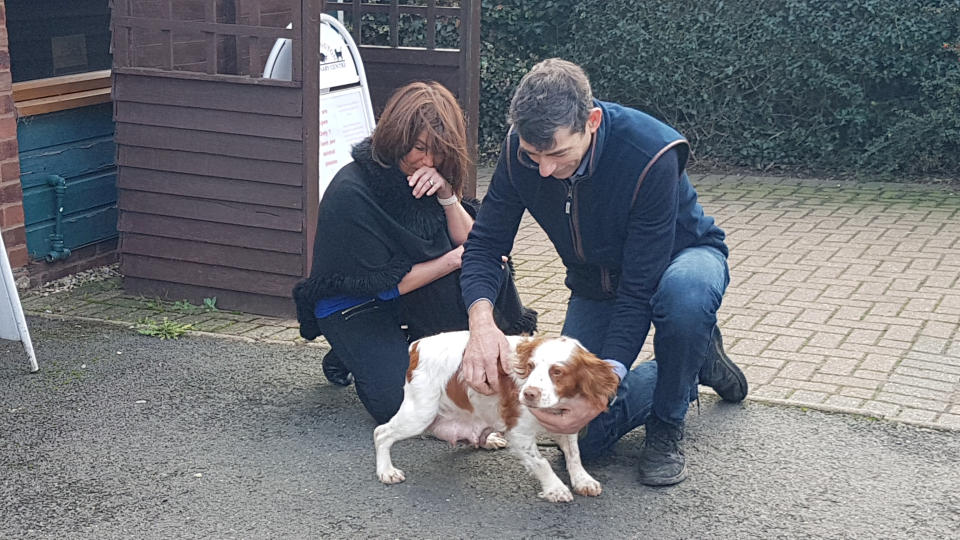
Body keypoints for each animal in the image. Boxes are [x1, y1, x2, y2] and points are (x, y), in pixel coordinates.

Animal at [372, 330, 620, 502]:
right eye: (530, 366)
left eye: (557, 372)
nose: (528, 394)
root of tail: (418, 345)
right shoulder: (519, 433)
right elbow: (541, 463)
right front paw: (556, 489)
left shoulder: (566, 423)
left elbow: (574, 454)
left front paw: (583, 480)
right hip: (420, 413)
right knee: (381, 433)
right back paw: (386, 471)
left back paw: (489, 439)